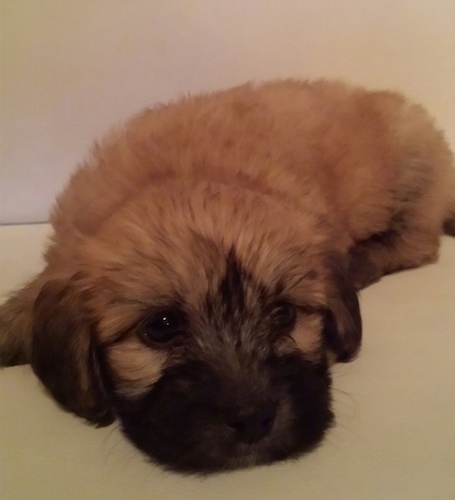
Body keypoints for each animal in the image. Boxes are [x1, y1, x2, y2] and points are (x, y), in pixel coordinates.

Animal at [0, 81, 455, 472]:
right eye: (161, 327)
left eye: (284, 315)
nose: (253, 421)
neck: (184, 173)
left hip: (413, 166)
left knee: (417, 241)